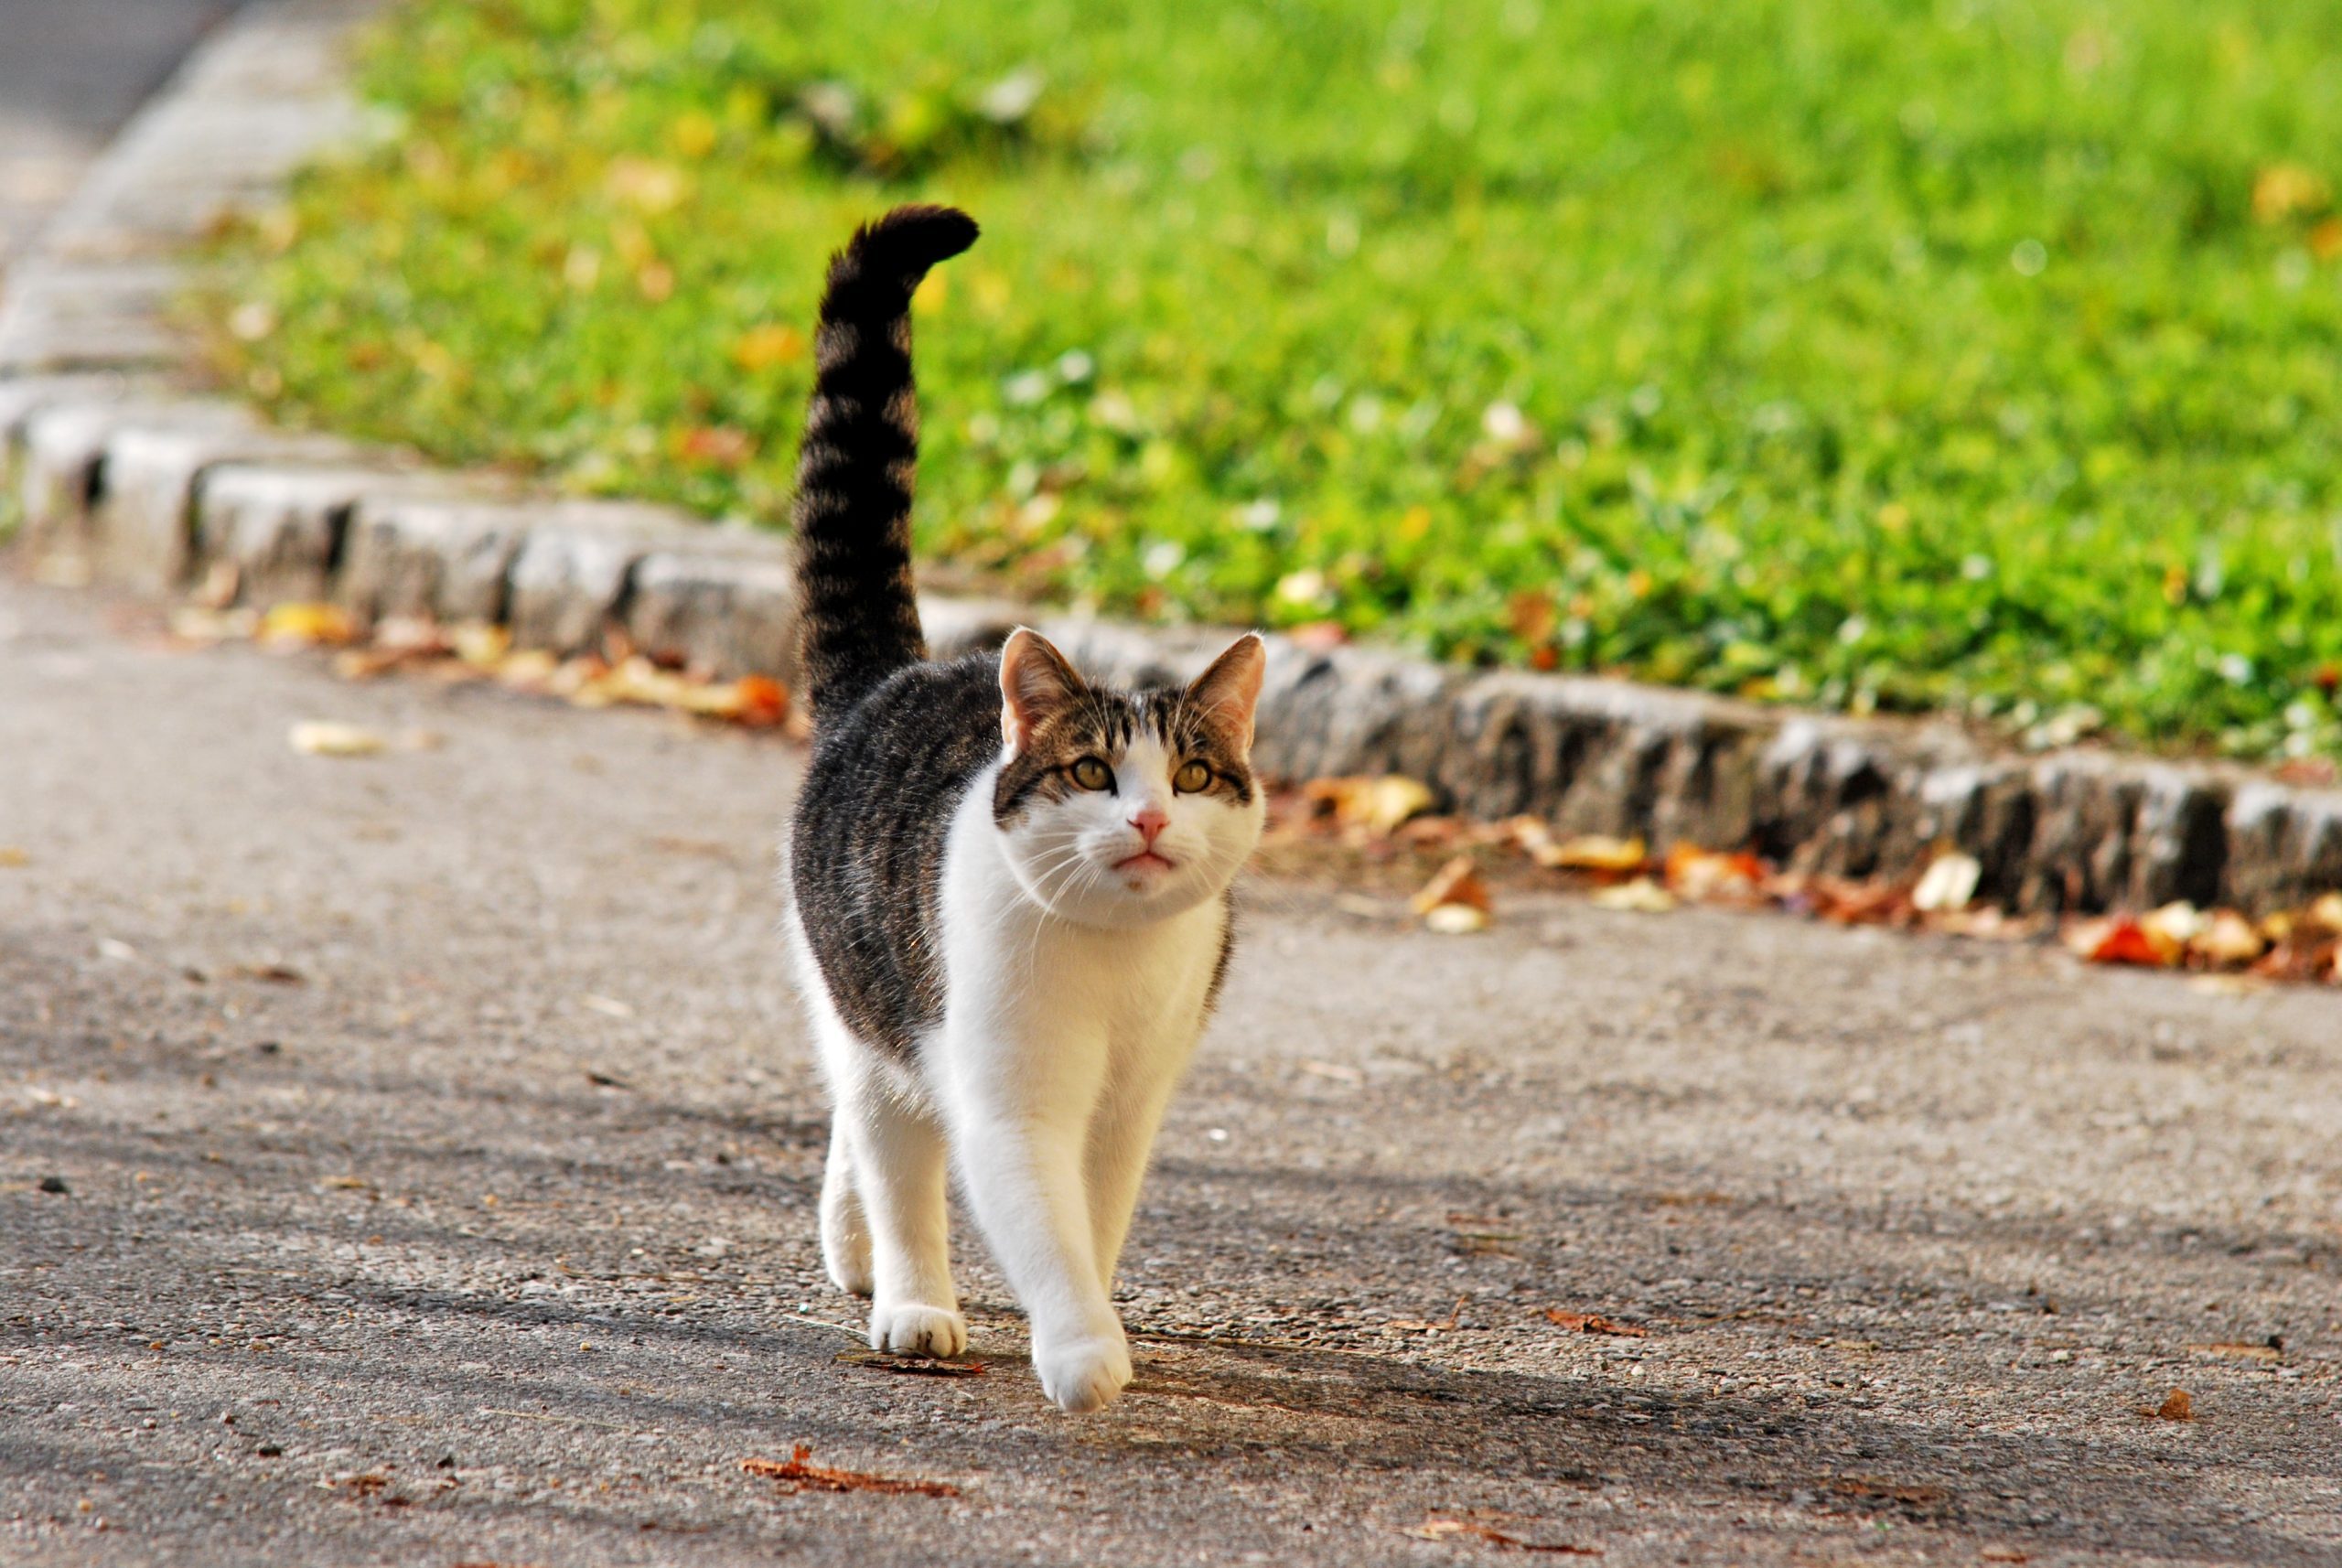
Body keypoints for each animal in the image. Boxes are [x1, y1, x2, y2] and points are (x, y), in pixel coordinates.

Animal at [777, 202, 1264, 1423]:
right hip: (876, 995)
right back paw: (910, 1302)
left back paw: (853, 1249)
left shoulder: (1131, 1103)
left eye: (1191, 777)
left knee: (858, 1122)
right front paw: (1084, 1349)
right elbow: (1040, 1224)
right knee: (893, 1146)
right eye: (1092, 772)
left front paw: (1096, 1306)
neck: (1114, 960)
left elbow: (1095, 1214)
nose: (1147, 823)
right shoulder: (1009, 1097)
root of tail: (898, 676)